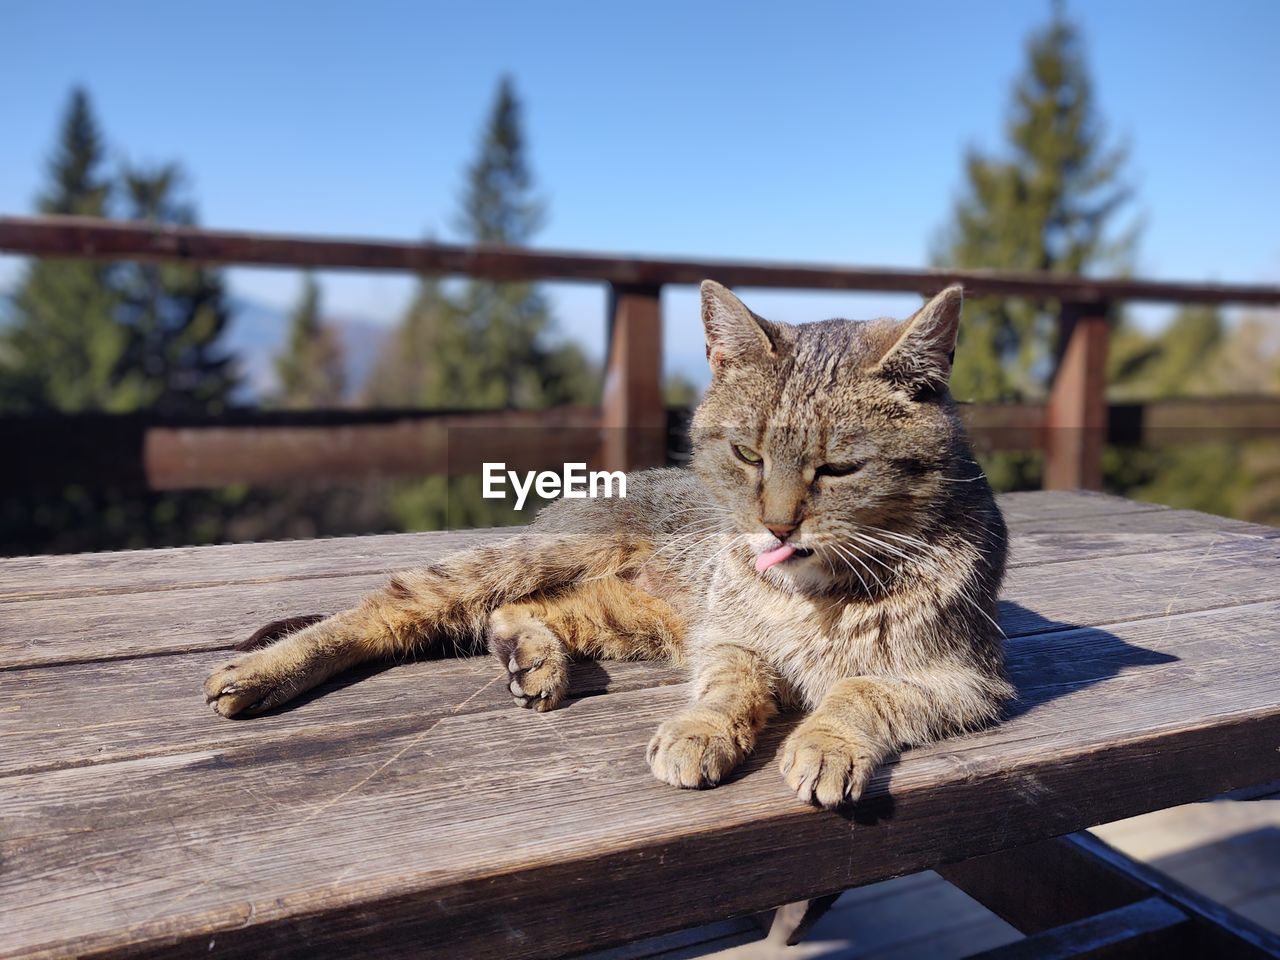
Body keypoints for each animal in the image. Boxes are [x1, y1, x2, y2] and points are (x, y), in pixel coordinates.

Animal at [207, 281, 1008, 808]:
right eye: (747, 455)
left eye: (838, 469)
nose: (777, 526)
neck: (818, 593)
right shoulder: (726, 639)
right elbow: (734, 686)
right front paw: (702, 730)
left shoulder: (966, 681)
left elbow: (861, 690)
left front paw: (825, 740)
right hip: (545, 562)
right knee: (393, 604)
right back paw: (259, 673)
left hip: (631, 619)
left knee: (518, 610)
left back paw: (535, 659)